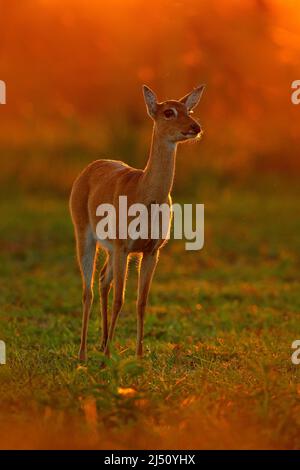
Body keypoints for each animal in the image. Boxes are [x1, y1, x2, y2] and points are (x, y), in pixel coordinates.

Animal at [70, 84, 205, 362]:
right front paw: (109, 354)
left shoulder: (152, 249)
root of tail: (88, 168)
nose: (195, 127)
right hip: (84, 232)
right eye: (168, 111)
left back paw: (101, 343)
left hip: (112, 247)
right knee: (88, 290)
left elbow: (141, 301)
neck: (145, 194)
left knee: (103, 279)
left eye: (189, 109)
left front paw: (140, 353)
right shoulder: (124, 245)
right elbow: (120, 299)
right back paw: (84, 353)